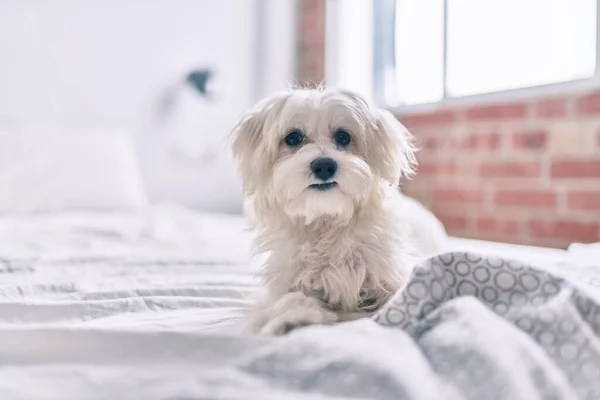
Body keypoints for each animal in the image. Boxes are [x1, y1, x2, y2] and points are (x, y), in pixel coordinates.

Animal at [229, 86, 446, 334]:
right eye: (292, 138)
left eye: (343, 137)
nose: (324, 165)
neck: (327, 220)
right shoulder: (285, 283)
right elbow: (290, 299)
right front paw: (293, 319)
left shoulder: (391, 273)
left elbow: (403, 293)